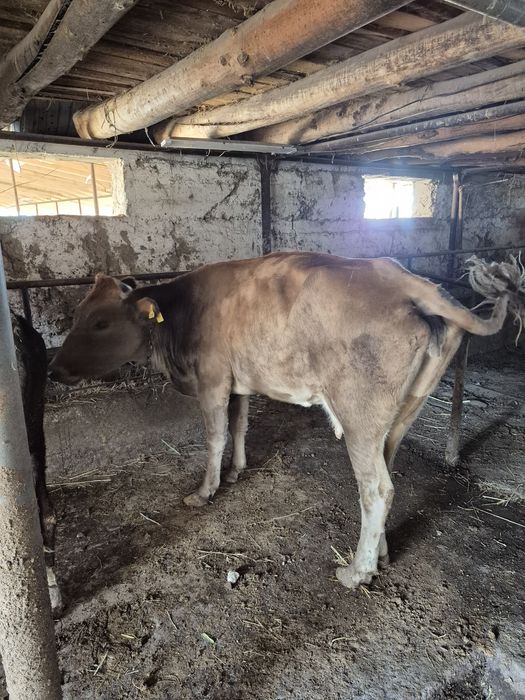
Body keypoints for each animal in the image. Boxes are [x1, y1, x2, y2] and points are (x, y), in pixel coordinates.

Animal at [48, 252, 524, 589]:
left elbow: (214, 436)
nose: (53, 370)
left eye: (101, 322)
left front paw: (205, 491)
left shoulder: (213, 380)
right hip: (404, 410)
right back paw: (382, 554)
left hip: (359, 416)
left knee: (377, 490)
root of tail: (400, 276)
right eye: (78, 315)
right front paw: (237, 471)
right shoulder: (239, 381)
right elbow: (239, 426)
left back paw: (357, 571)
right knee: (388, 473)